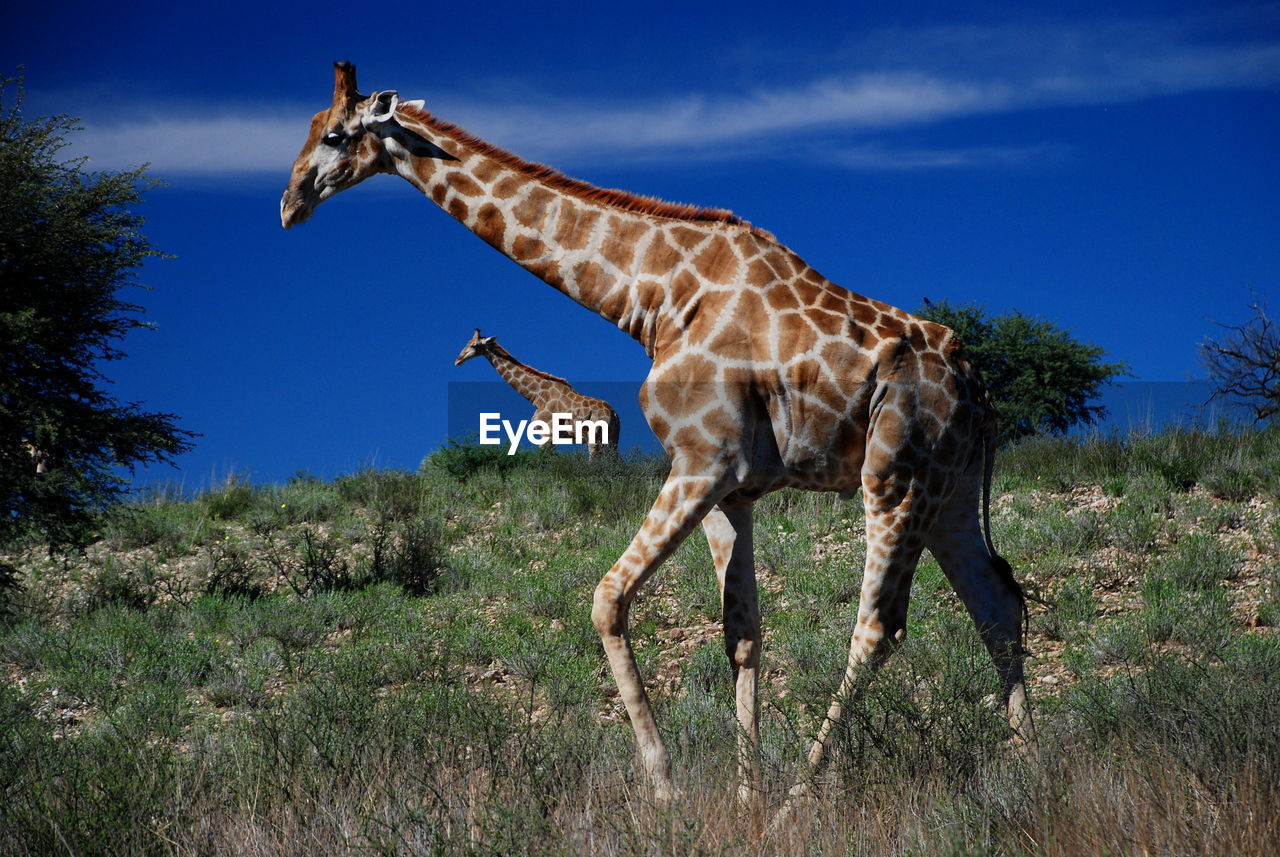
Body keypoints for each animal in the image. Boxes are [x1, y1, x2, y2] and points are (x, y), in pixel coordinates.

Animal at [455, 330, 619, 463]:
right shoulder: (552, 437)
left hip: (595, 437)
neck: (537, 396)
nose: (458, 360)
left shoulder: (547, 434)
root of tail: (614, 414)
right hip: (612, 440)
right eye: (467, 342)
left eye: (474, 345)